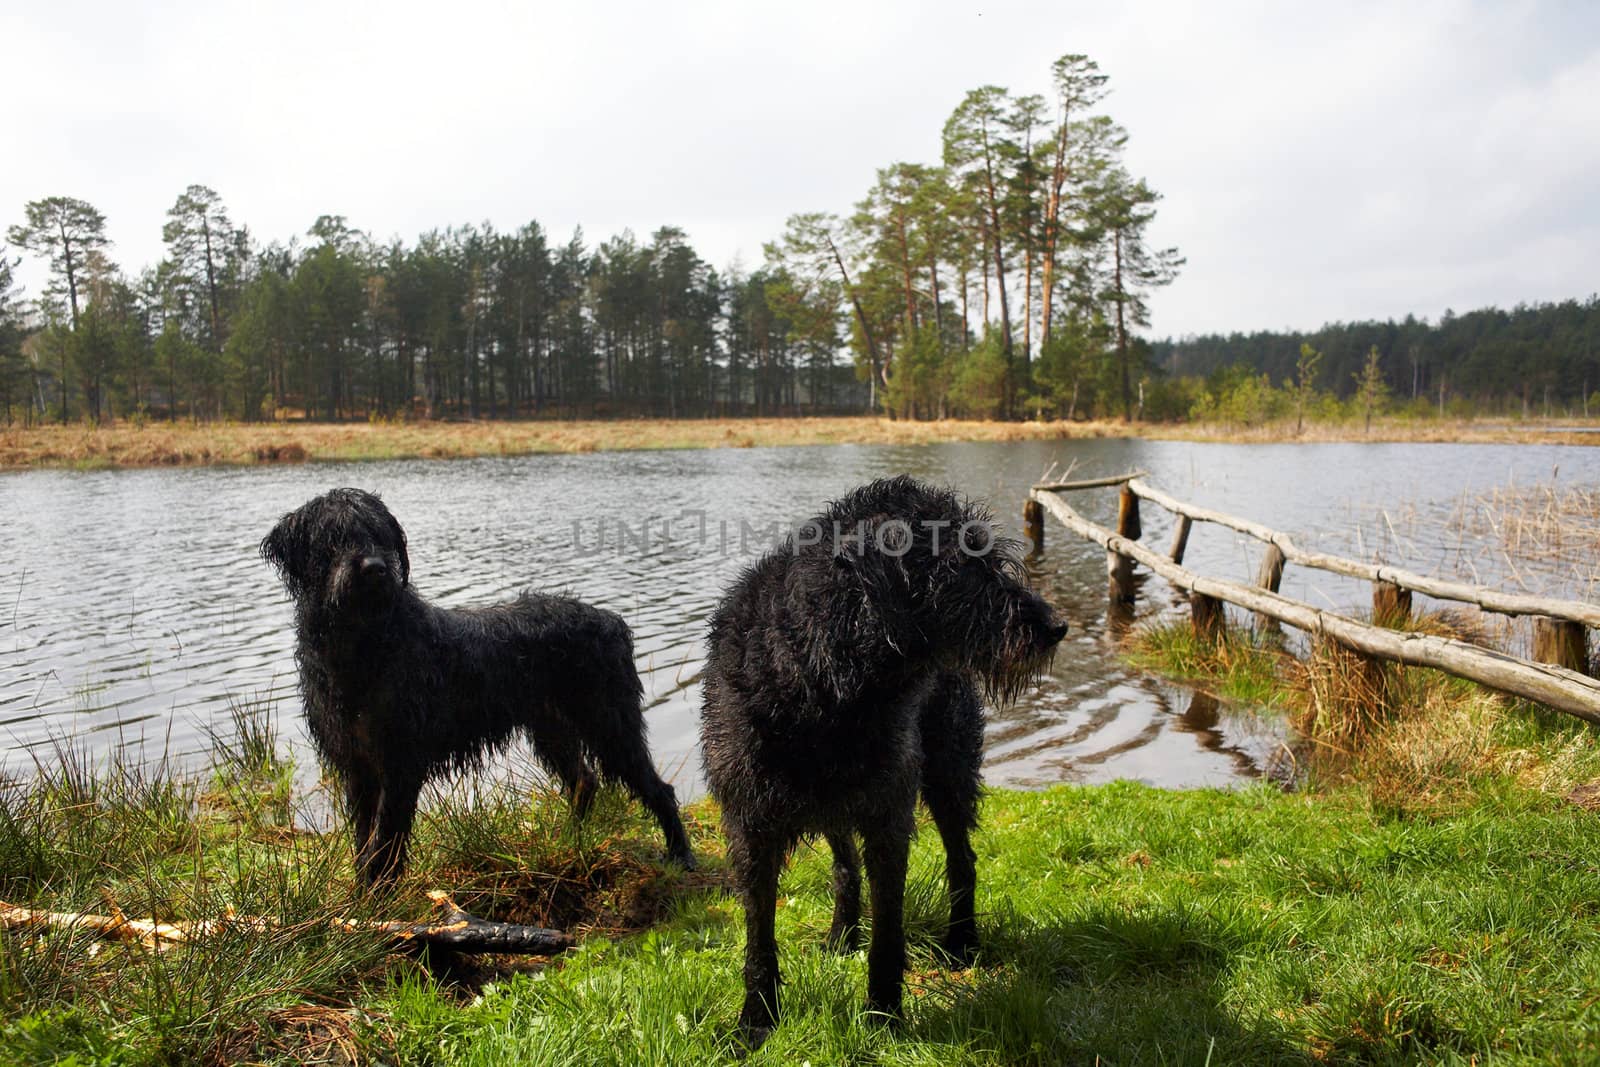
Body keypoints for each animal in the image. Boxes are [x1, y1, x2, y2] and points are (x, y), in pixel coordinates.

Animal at [262, 489, 694, 889]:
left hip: (610, 724)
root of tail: (611, 620)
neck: (365, 643)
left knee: (658, 789)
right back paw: (574, 843)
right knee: (584, 783)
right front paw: (363, 893)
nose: (374, 568)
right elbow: (364, 839)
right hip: (553, 730)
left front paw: (381, 897)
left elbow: (385, 841)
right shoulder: (359, 765)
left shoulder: (399, 762)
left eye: (379, 534)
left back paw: (681, 855)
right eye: (334, 536)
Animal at [704, 476, 1068, 1043]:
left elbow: (889, 929)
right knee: (844, 867)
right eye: (961, 567)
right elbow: (758, 937)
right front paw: (756, 1021)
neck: (825, 683)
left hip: (947, 773)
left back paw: (962, 941)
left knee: (962, 859)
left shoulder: (887, 819)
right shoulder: (750, 827)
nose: (1056, 625)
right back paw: (842, 933)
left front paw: (884, 1015)